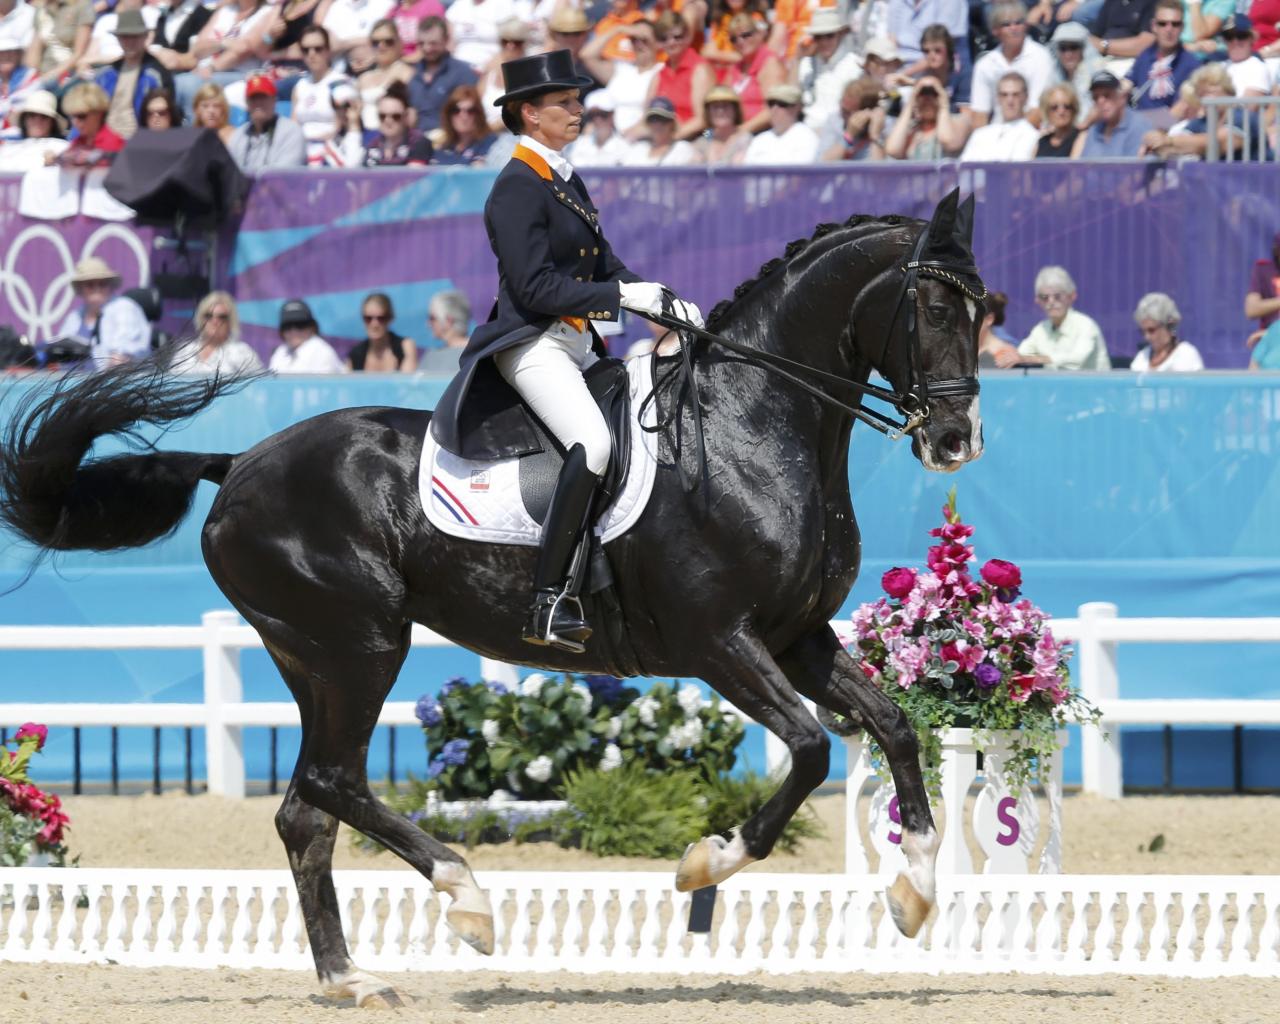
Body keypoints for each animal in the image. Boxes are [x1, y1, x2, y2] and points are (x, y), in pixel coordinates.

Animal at [0, 190, 985, 1006]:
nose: (956, 439)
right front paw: (707, 863)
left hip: (311, 655)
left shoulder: (797, 637)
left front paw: (913, 890)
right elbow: (814, 749)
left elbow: (896, 728)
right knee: (331, 781)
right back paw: (466, 898)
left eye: (987, 311)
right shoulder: (720, 643)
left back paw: (352, 979)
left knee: (305, 810)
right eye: (936, 309)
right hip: (358, 645)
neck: (749, 427)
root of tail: (237, 464)